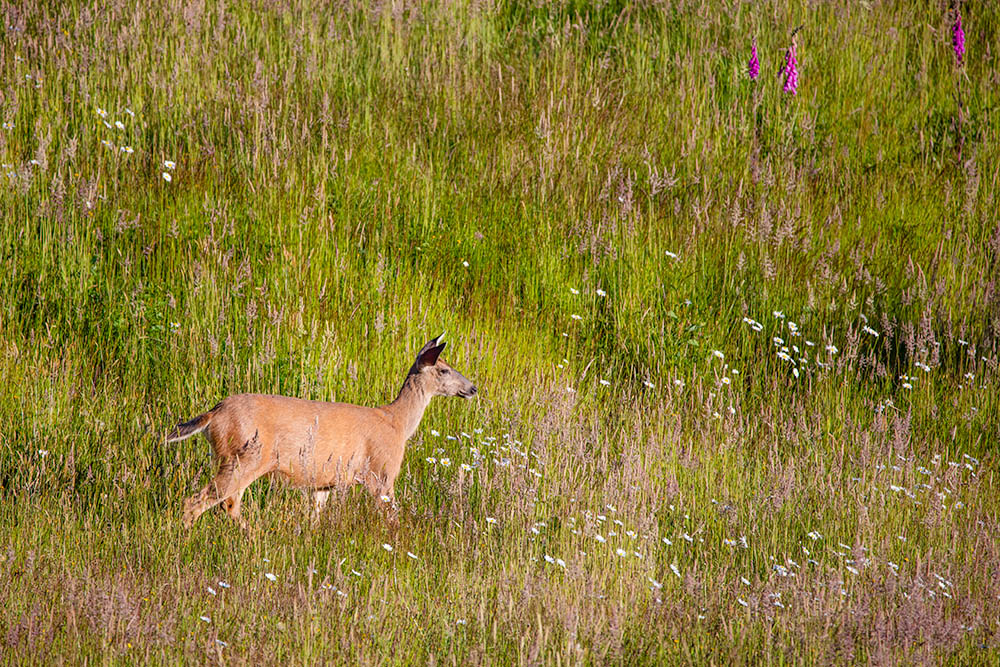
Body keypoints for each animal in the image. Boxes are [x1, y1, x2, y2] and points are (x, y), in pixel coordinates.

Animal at [166, 334, 476, 528]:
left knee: (227, 503)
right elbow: (392, 517)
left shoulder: (324, 484)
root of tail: (214, 413)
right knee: (200, 501)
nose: (472, 388)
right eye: (444, 370)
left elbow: (315, 517)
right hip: (244, 456)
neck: (397, 422)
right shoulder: (381, 472)